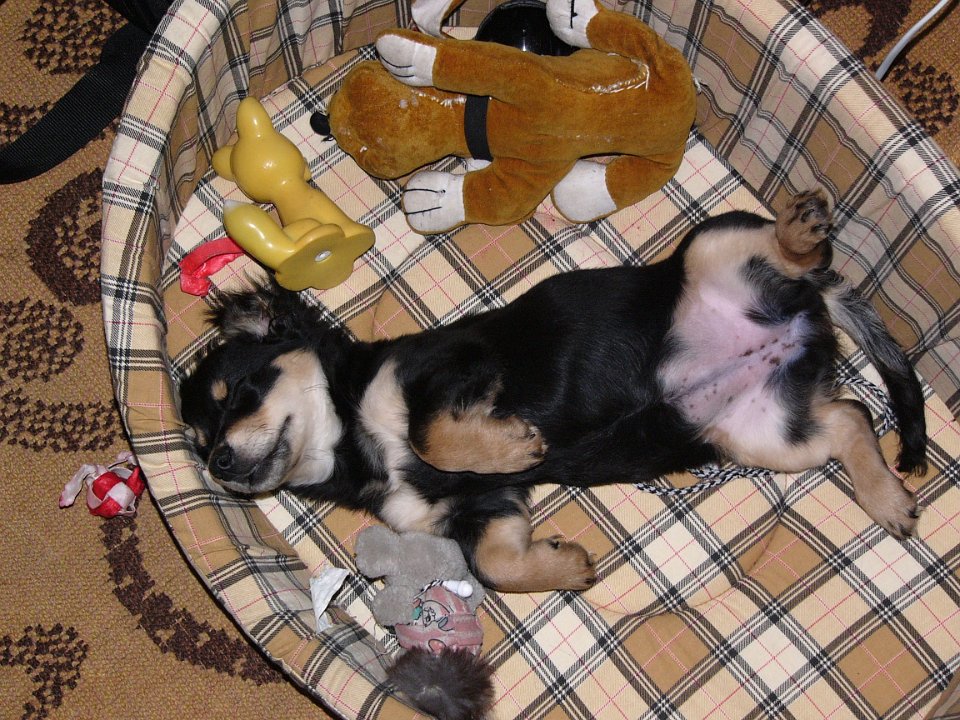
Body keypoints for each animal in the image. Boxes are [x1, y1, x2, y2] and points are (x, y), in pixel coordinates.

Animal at [180, 191, 927, 594]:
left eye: (237, 391)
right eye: (200, 437)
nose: (220, 463)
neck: (358, 448)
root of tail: (806, 316)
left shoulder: (458, 366)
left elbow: (432, 431)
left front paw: (514, 444)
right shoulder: (485, 509)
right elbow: (495, 566)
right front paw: (567, 566)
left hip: (711, 249)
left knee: (785, 250)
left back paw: (802, 226)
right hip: (762, 433)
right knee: (852, 417)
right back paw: (889, 499)